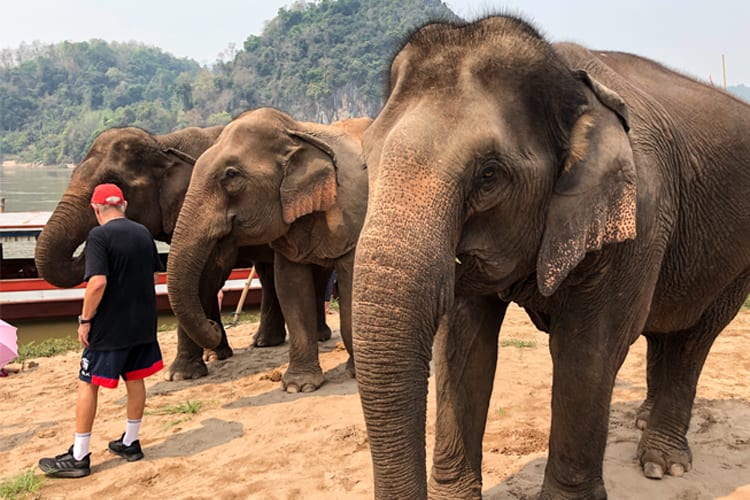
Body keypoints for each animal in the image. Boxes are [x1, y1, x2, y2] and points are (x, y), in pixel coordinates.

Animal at [32, 125, 332, 378]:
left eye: (114, 182)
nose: (213, 328)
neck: (163, 142)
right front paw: (215, 354)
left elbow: (209, 274)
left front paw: (182, 373)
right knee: (268, 272)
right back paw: (263, 343)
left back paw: (318, 336)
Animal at [168, 107, 374, 392]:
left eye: (231, 175)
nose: (214, 326)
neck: (297, 132)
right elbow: (290, 286)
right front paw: (299, 386)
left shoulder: (354, 211)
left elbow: (352, 282)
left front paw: (355, 374)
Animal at [352, 13, 750, 498]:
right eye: (367, 162)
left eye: (489, 175)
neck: (569, 82)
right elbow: (463, 343)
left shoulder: (638, 218)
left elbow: (589, 348)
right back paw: (642, 421)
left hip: (737, 259)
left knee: (694, 337)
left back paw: (661, 464)